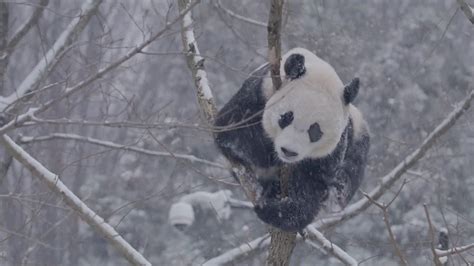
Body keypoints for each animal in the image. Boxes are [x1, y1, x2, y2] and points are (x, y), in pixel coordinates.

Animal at [213, 47, 368, 231]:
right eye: (286, 117)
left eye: (315, 131)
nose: (289, 151)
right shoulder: (257, 93)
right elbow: (232, 133)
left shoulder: (338, 144)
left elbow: (311, 183)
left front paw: (277, 211)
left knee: (347, 178)